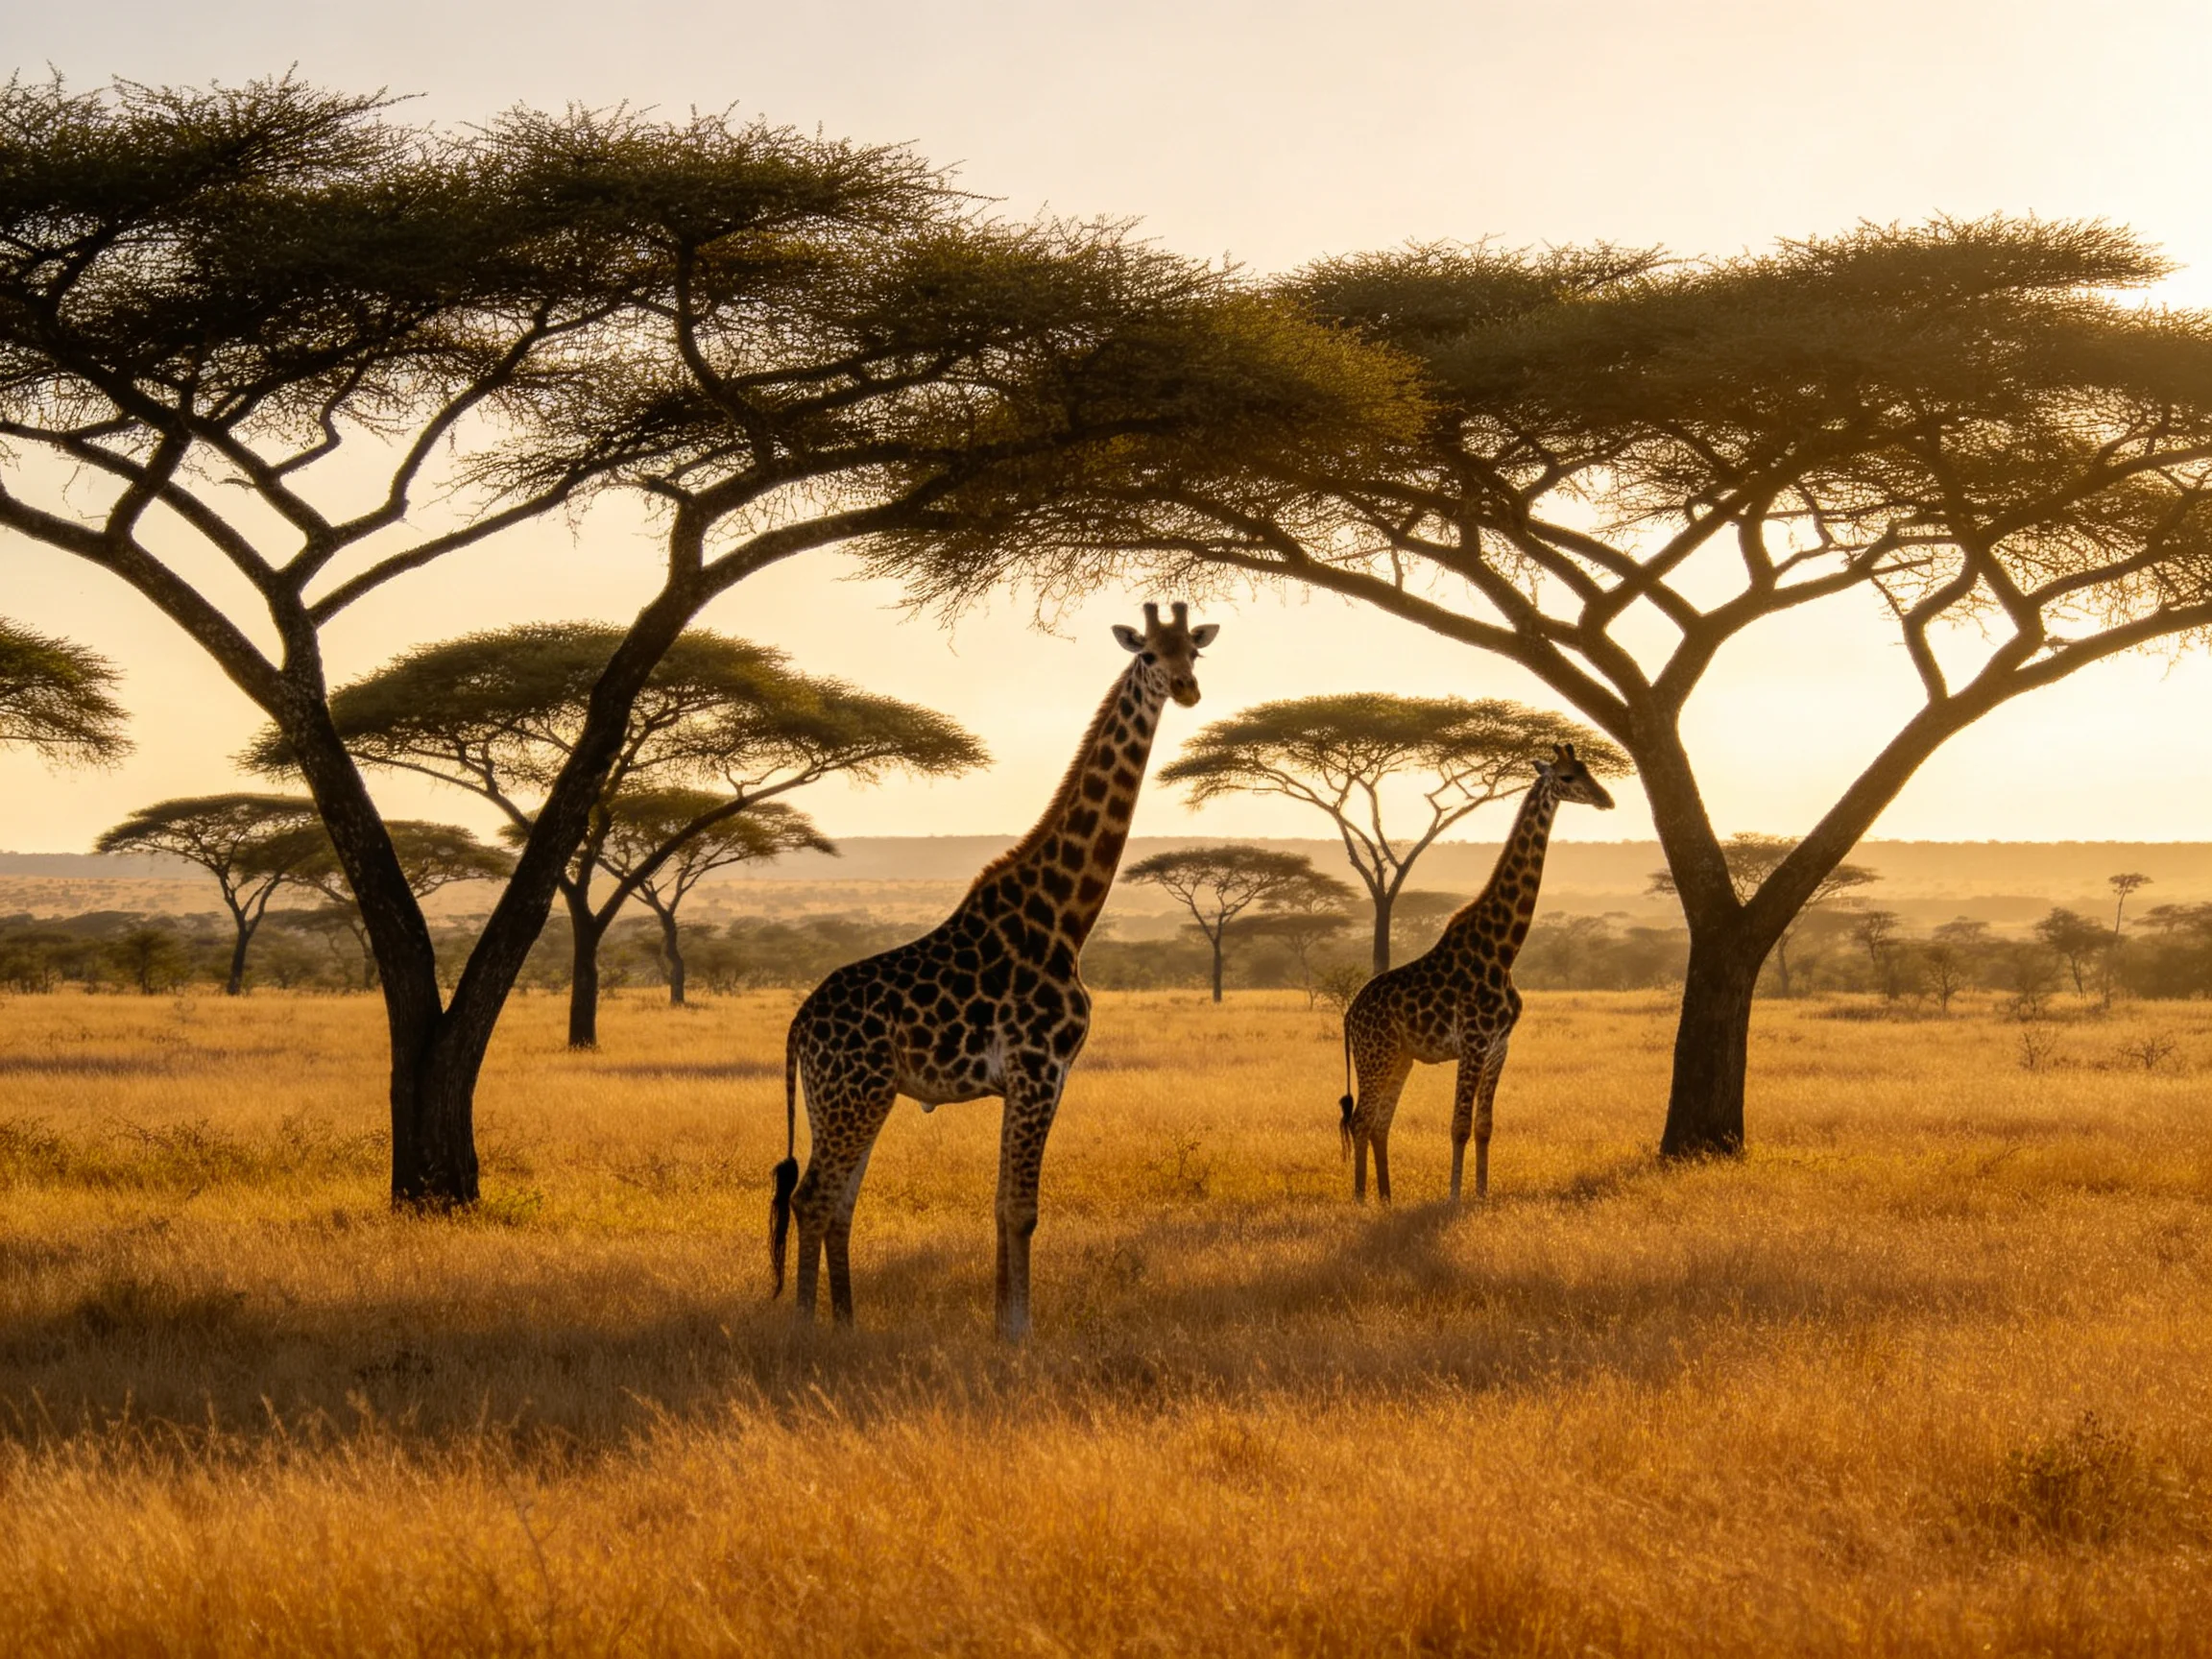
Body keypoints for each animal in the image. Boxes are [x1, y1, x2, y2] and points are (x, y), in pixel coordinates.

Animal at [769, 602, 1219, 1338]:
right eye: (1149, 654)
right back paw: (810, 1327)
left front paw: (1001, 1322)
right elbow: (1021, 1208)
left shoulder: (1030, 1081)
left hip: (842, 1096)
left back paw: (846, 1322)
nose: (1186, 689)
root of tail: (800, 1026)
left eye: (1194, 652)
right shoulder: (1040, 1069)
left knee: (836, 1202)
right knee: (812, 1197)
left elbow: (1002, 1202)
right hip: (853, 1094)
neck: (1065, 917)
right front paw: (1019, 1330)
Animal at [1338, 744, 1614, 1204]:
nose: (1606, 799)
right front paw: (1453, 1196)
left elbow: (1484, 1126)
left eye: (1588, 769)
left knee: (1379, 1123)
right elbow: (1459, 1126)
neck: (1502, 951)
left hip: (1400, 1056)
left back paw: (1386, 1197)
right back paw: (1360, 1198)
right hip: (1375, 1053)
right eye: (1569, 777)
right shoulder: (1472, 1043)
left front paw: (1483, 1194)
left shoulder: (1500, 1046)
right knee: (1360, 1119)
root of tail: (1349, 1016)